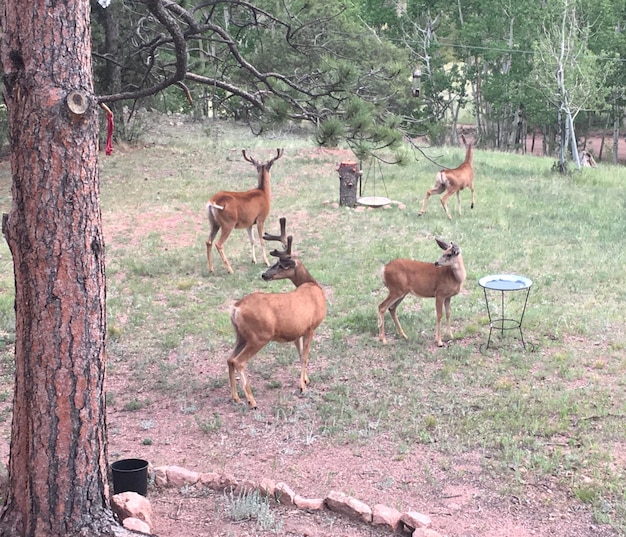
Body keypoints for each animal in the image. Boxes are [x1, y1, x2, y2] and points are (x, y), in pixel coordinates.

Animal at [225, 217, 324, 406]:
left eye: (280, 265)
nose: (264, 275)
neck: (312, 285)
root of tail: (236, 308)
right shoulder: (311, 327)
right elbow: (305, 356)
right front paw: (303, 386)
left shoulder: (297, 331)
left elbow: (300, 354)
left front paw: (305, 380)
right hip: (259, 336)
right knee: (238, 361)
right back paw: (251, 400)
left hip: (241, 335)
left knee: (229, 359)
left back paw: (235, 396)